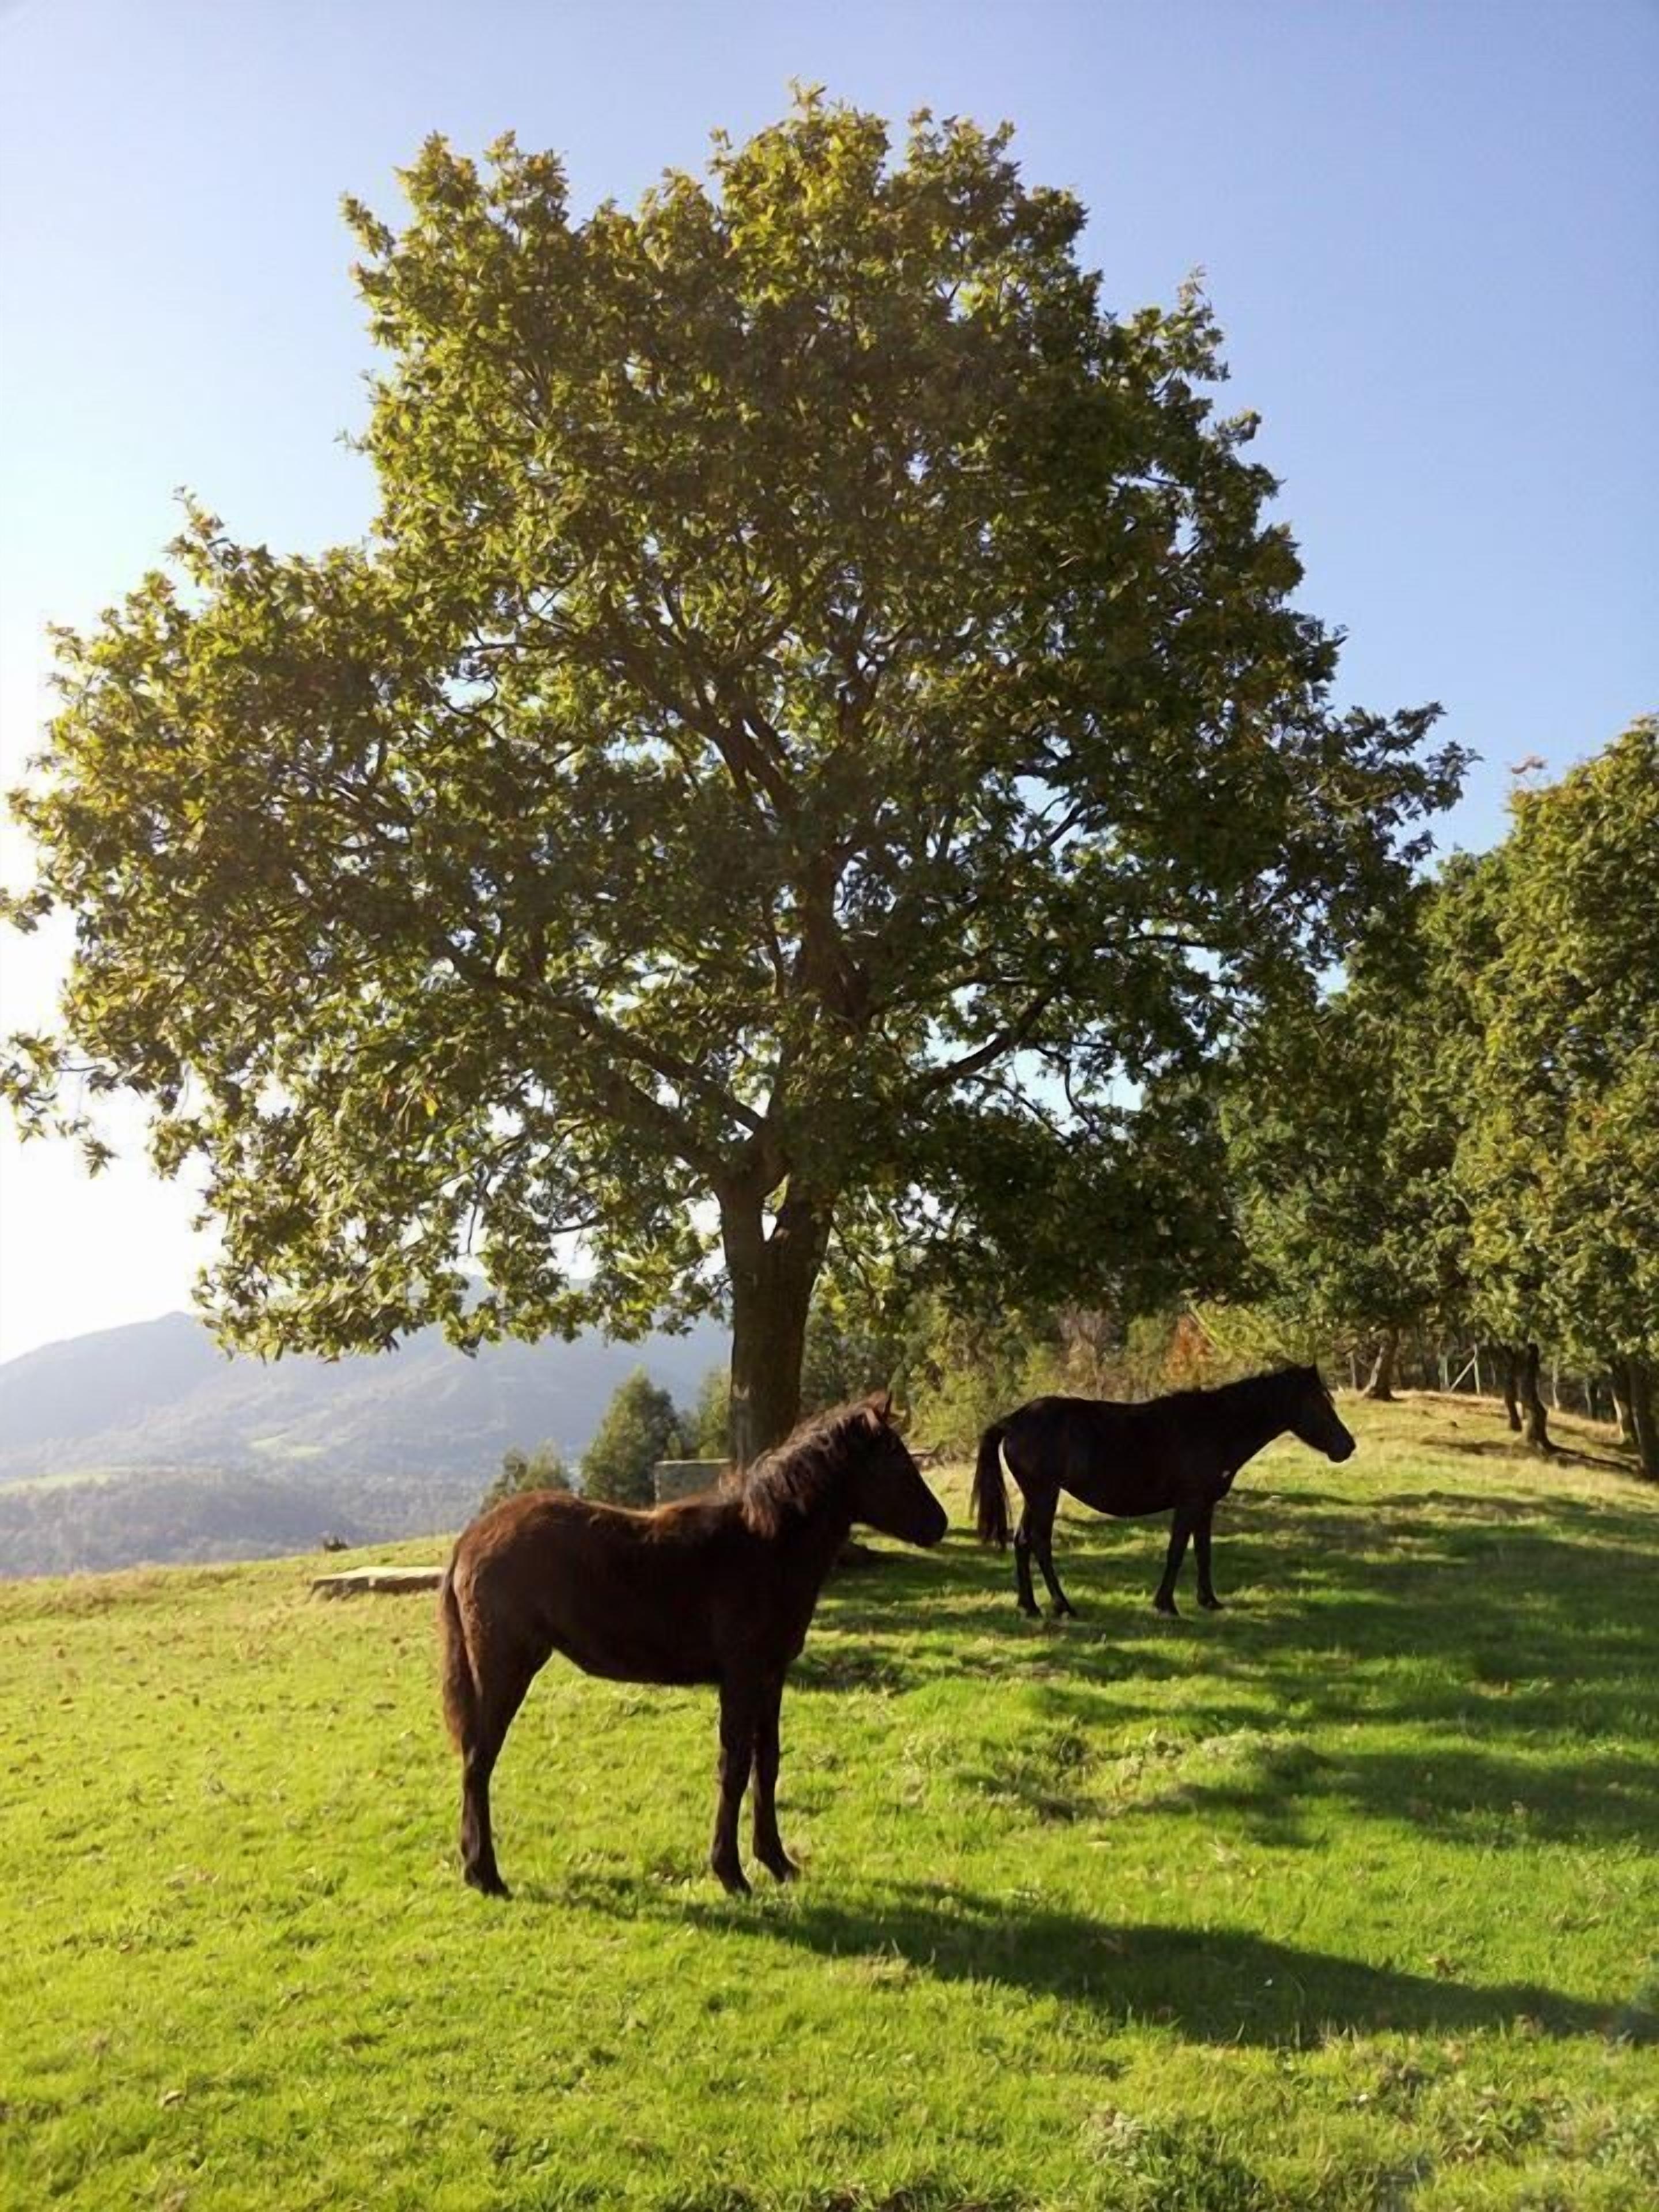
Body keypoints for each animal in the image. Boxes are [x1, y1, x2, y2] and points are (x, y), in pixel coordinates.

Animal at [439, 1393, 947, 1898]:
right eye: (895, 1458)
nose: (939, 1524)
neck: (765, 1546)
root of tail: (470, 1539)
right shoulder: (741, 1678)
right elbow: (735, 1767)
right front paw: (731, 1872)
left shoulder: (771, 1676)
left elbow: (767, 1763)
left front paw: (777, 1861)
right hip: (505, 1669)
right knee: (478, 1760)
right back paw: (486, 1874)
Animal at [972, 1365, 1355, 1619]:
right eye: (1319, 1404)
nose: (1348, 1447)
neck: (1215, 1426)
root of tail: (1014, 1420)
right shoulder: (1189, 1503)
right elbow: (1177, 1551)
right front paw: (1166, 1605)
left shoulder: (1205, 1506)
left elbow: (1203, 1552)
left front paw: (1209, 1601)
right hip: (1044, 1494)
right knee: (1039, 1543)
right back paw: (1063, 1606)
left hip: (1035, 1496)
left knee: (1023, 1542)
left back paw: (1030, 1606)